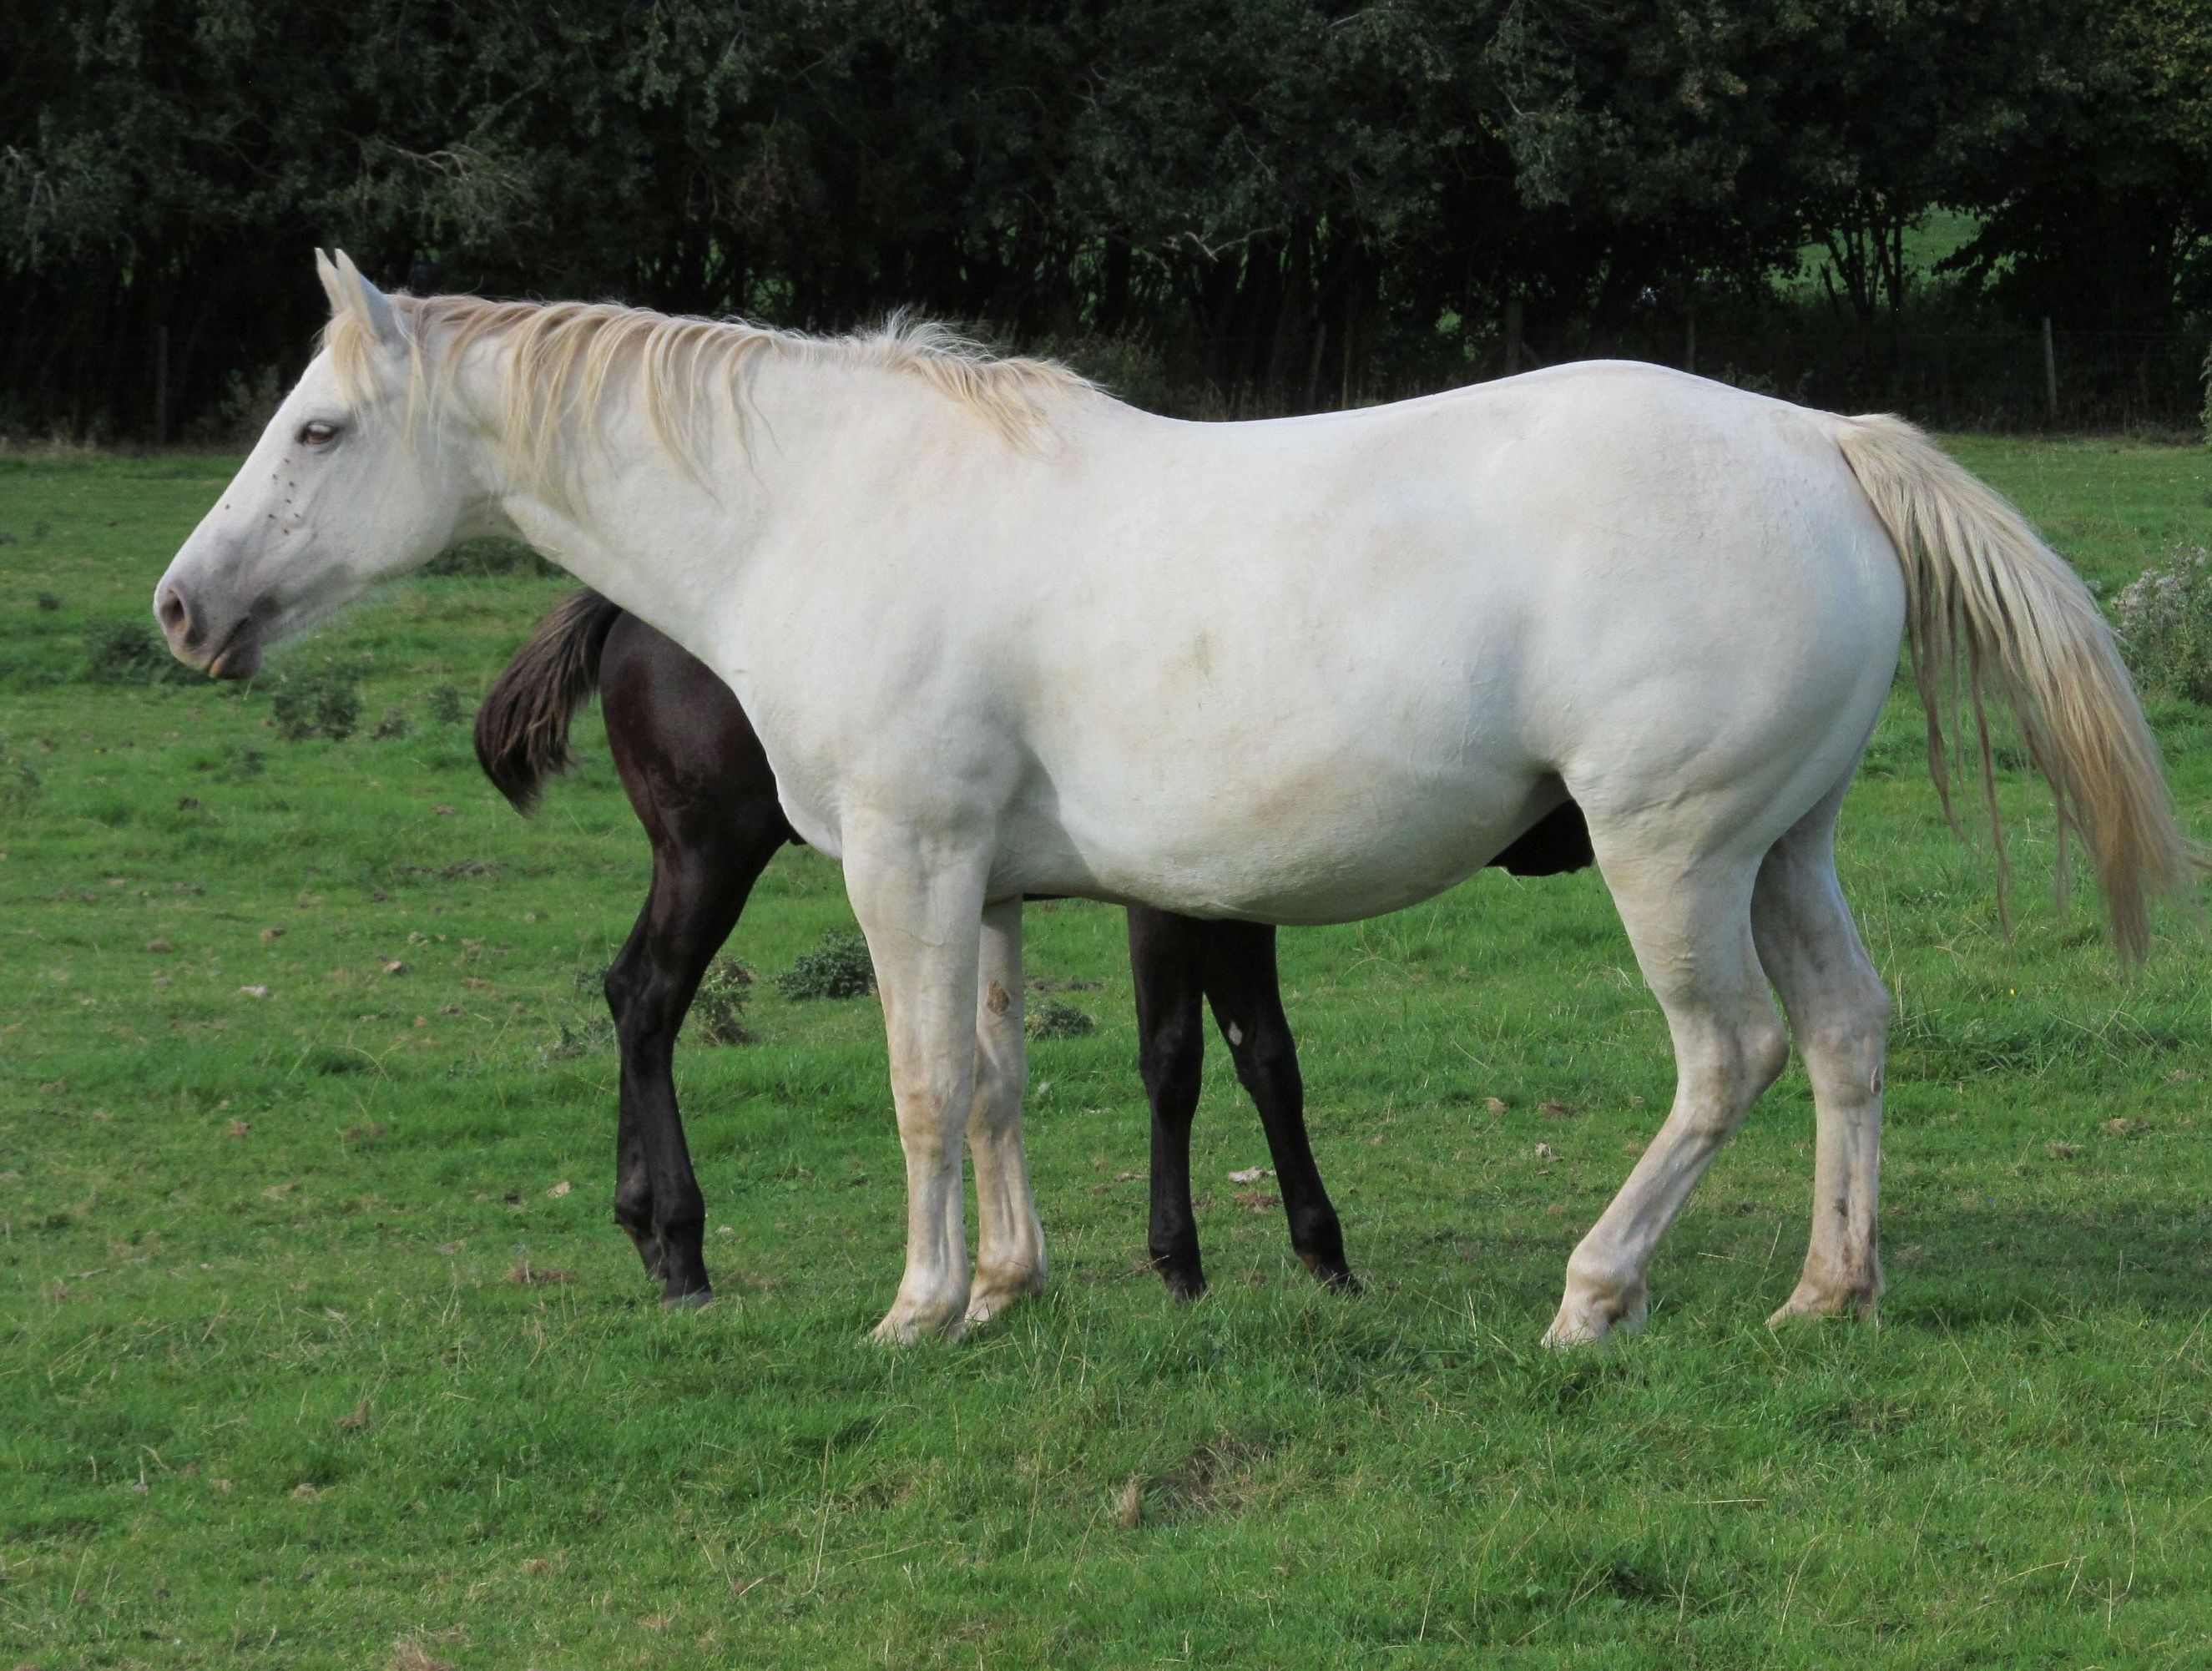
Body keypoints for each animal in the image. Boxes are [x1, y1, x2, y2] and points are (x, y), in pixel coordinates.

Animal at [484, 593, 1593, 1310]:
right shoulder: (1165, 902)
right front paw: (1182, 1262)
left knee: (630, 992)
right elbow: (1179, 1064)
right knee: (651, 1000)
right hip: (713, 848)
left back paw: (643, 1226)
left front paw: (1322, 1256)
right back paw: (681, 1242)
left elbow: (1267, 1060)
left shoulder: (1237, 901)